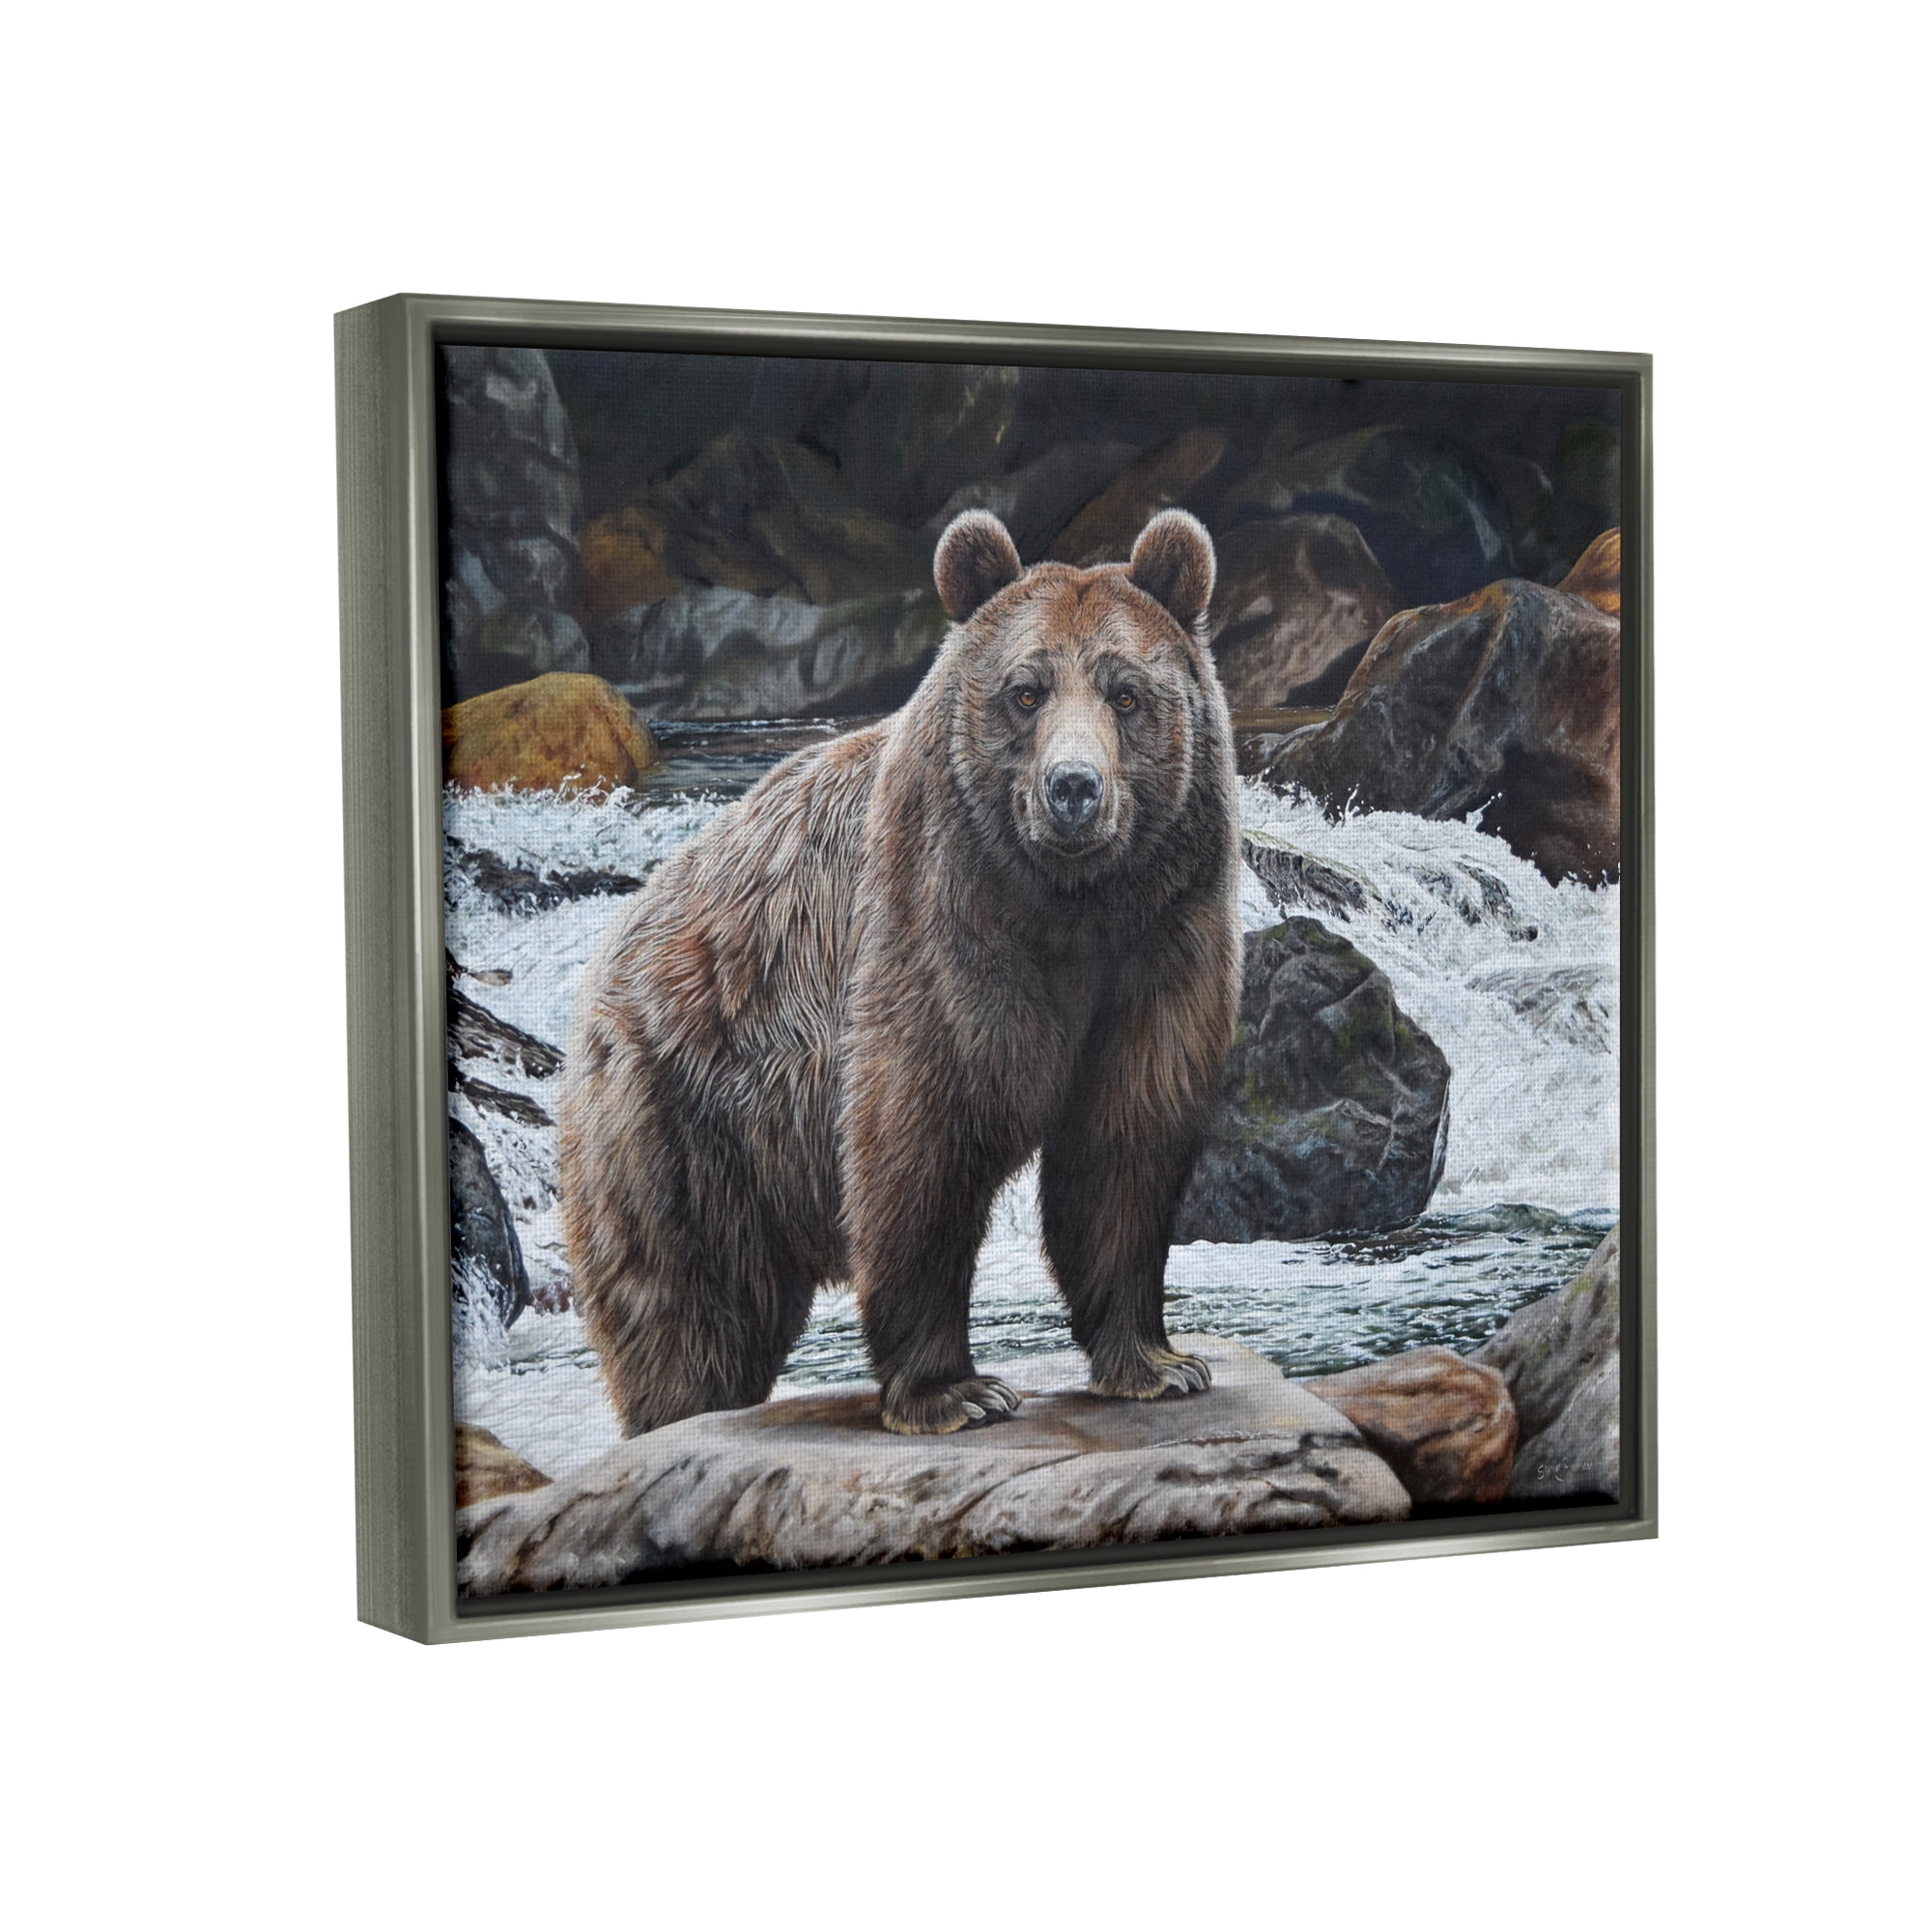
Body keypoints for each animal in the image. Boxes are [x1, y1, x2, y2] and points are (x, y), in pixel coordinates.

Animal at [559, 507, 1243, 1435]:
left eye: (1126, 693)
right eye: (1025, 691)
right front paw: (955, 1390)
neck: (1073, 907)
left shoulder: (1164, 939)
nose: (1073, 789)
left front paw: (1157, 1362)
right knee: (686, 1307)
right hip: (680, 1114)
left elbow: (1124, 1142)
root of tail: (609, 953)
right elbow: (921, 1139)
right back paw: (679, 1412)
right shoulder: (940, 921)